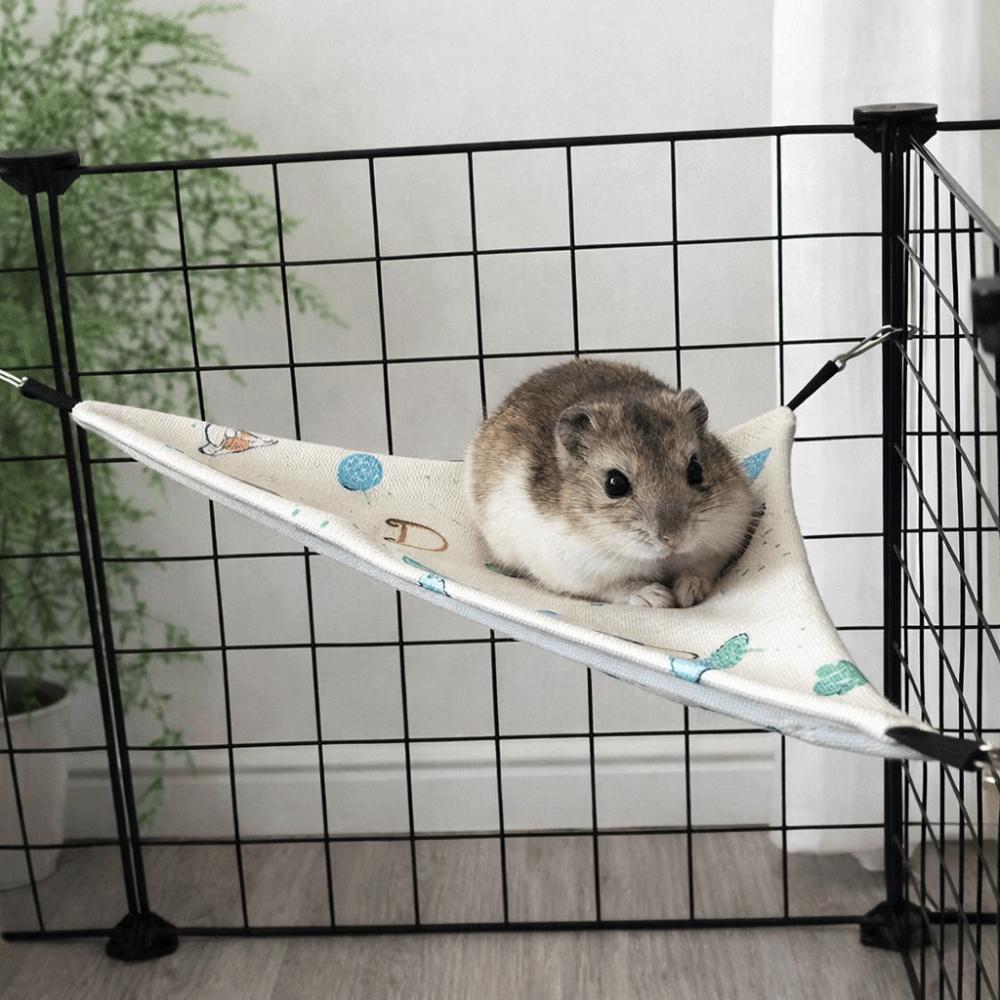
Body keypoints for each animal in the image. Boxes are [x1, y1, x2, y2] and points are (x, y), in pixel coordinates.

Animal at [463, 359, 757, 608]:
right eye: (615, 484)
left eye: (696, 469)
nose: (674, 539)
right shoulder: (576, 573)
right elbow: (616, 587)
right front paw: (658, 598)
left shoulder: (724, 536)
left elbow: (702, 568)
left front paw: (688, 593)